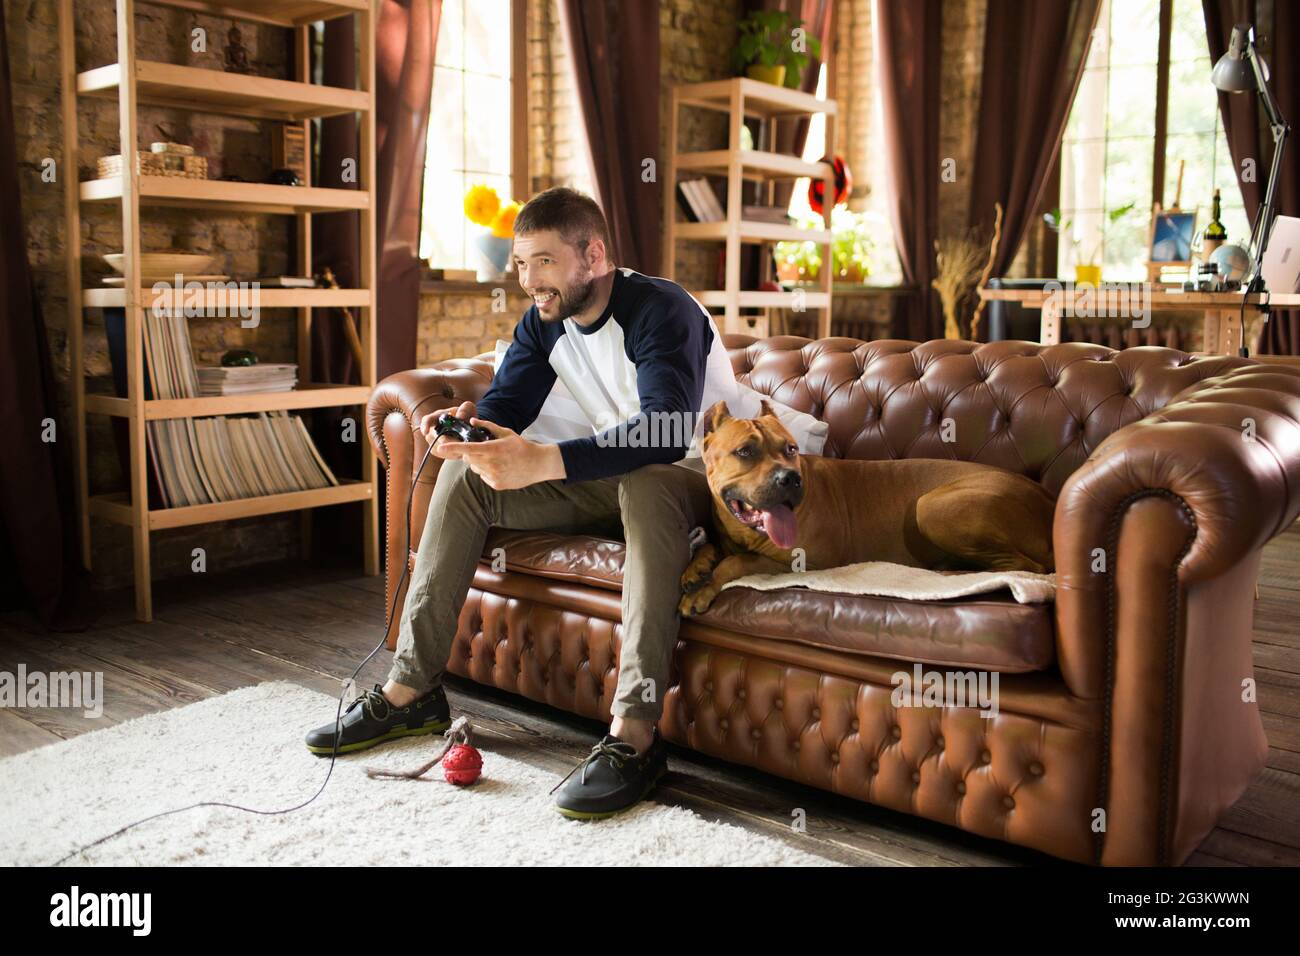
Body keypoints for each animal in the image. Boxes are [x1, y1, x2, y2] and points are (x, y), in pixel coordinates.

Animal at [681, 400, 1055, 616]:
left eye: (790, 449)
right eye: (745, 451)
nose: (790, 478)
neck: (745, 531)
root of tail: (1047, 497)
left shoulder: (805, 562)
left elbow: (737, 561)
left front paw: (705, 587)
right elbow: (715, 548)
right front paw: (696, 568)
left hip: (930, 506)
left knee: (1024, 565)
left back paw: (958, 573)